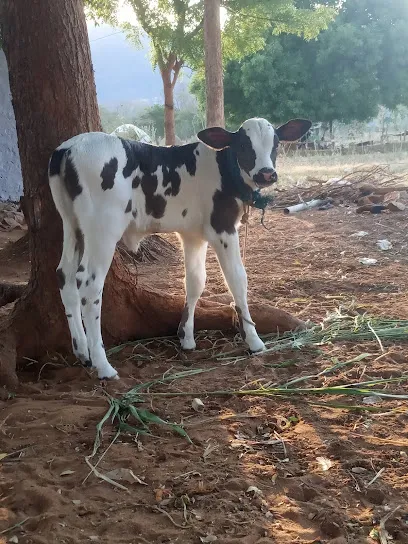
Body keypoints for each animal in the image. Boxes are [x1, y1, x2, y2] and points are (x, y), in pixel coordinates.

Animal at [48, 116, 310, 378]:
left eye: (275, 143)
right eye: (244, 145)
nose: (267, 174)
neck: (224, 169)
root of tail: (69, 147)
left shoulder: (193, 235)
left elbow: (195, 281)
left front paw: (186, 337)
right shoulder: (222, 228)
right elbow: (237, 278)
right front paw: (254, 340)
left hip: (71, 224)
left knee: (64, 275)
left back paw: (82, 351)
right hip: (103, 229)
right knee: (89, 283)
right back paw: (103, 365)